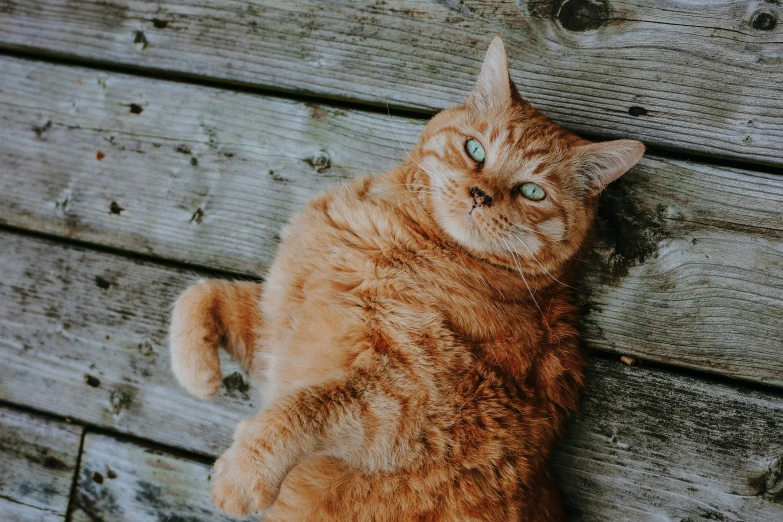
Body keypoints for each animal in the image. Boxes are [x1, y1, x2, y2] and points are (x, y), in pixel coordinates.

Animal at [170, 37, 644, 520]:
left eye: (532, 191)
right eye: (475, 150)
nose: (480, 194)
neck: (399, 233)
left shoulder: (411, 405)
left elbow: (305, 407)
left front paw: (242, 472)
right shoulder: (275, 322)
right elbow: (201, 292)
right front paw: (197, 373)